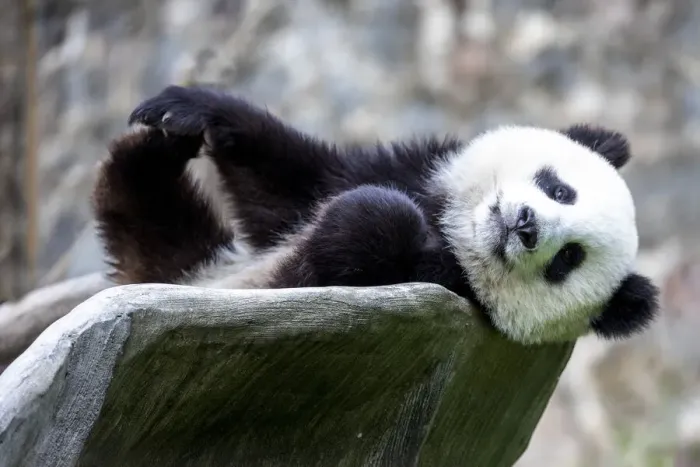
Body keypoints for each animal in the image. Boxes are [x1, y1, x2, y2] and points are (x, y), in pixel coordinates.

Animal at [92, 85, 659, 345]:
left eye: (568, 259)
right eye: (559, 189)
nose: (525, 225)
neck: (454, 231)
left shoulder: (440, 284)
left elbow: (359, 241)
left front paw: (375, 216)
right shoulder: (408, 167)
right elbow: (290, 184)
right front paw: (190, 109)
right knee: (145, 204)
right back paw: (157, 149)